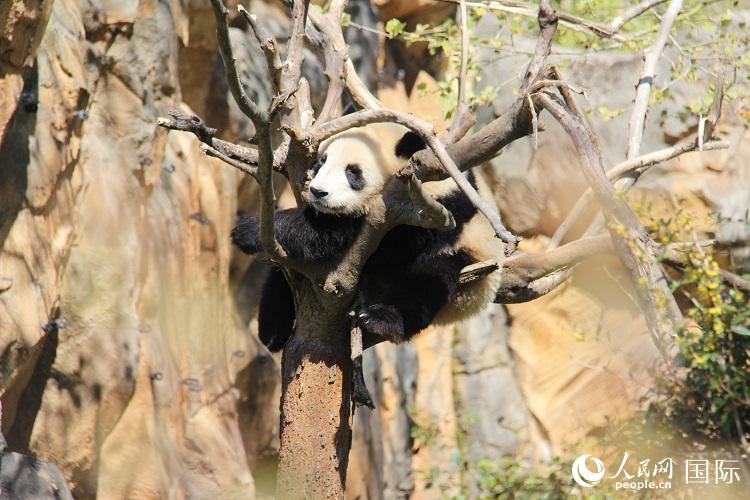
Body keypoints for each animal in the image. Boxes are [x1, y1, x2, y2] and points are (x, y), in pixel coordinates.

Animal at [234, 122, 506, 352]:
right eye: (322, 162)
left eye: (353, 172)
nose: (318, 192)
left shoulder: (434, 213)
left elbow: (337, 232)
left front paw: (248, 230)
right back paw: (272, 330)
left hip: (469, 264)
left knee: (427, 281)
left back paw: (382, 319)